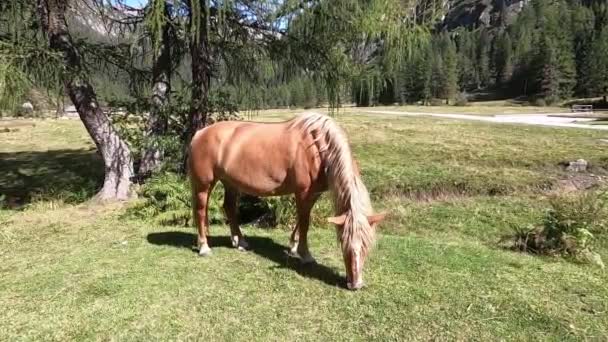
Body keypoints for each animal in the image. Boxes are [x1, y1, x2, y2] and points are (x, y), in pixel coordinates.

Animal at [188, 111, 384, 288]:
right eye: (344, 243)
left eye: (366, 245)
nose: (356, 284)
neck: (317, 146)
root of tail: (200, 133)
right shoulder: (303, 192)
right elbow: (305, 222)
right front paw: (306, 255)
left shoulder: (313, 193)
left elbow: (302, 219)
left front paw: (294, 246)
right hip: (204, 185)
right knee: (200, 211)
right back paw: (204, 247)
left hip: (230, 183)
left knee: (228, 207)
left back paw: (240, 241)